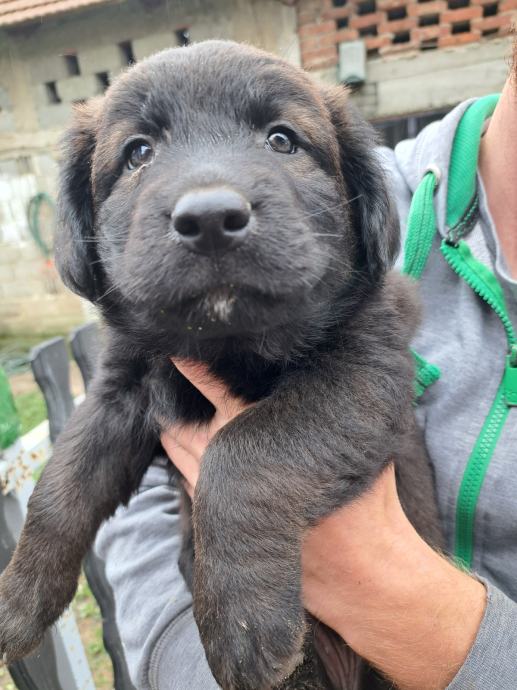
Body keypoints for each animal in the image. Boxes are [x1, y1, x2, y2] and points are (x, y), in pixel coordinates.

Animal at [0, 43, 440, 688]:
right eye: (138, 153)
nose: (209, 218)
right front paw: (18, 597)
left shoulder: (362, 376)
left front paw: (242, 624)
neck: (228, 343)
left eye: (282, 140)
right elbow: (62, 484)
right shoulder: (119, 389)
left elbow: (242, 454)